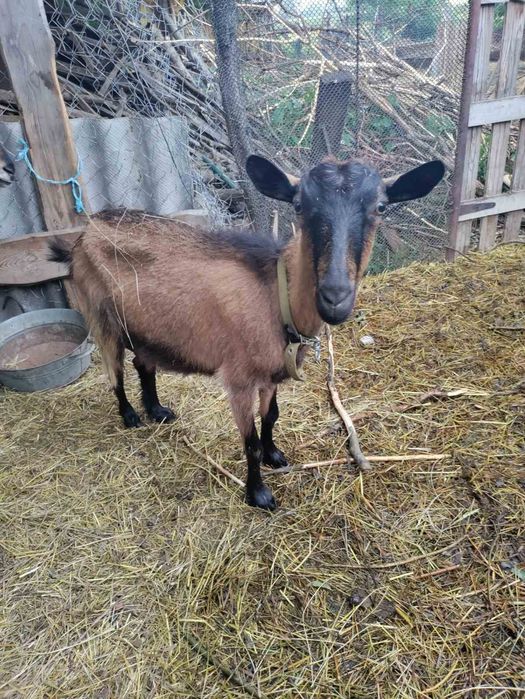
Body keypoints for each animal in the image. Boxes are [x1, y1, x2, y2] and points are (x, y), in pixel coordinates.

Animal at [49, 155, 444, 510]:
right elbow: (249, 440)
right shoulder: (239, 379)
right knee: (113, 370)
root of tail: (84, 234)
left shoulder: (272, 373)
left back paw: (157, 409)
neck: (275, 296)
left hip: (145, 325)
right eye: (299, 205)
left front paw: (275, 455)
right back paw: (130, 416)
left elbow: (271, 417)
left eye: (380, 206)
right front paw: (259, 494)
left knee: (142, 364)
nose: (335, 296)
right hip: (100, 313)